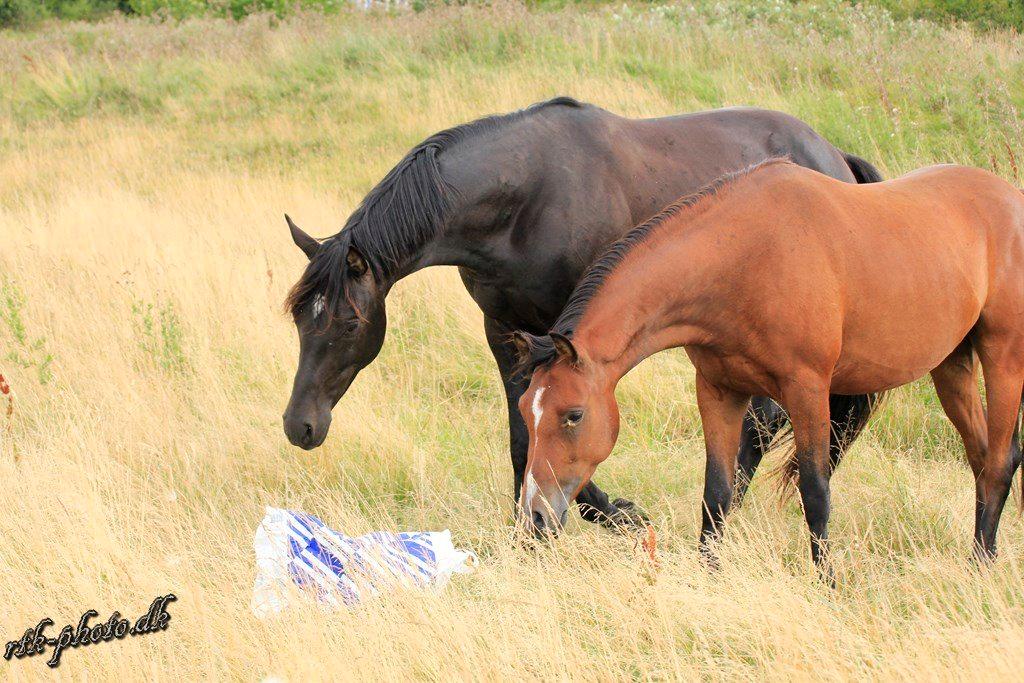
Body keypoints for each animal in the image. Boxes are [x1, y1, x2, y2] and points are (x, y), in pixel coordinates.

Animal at [281, 97, 885, 531]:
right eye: (299, 320)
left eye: (350, 324)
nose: (300, 426)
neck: (524, 201)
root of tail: (834, 157)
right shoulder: (504, 330)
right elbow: (521, 430)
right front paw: (527, 526)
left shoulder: (573, 332)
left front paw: (607, 512)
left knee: (766, 418)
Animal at [513, 158, 1024, 581]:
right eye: (524, 411)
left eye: (573, 415)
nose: (534, 516)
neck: (745, 256)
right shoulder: (718, 390)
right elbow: (717, 492)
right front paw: (709, 576)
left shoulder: (807, 389)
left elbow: (815, 492)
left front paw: (826, 584)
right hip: (952, 366)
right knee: (981, 457)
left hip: (1003, 357)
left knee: (1001, 460)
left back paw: (981, 567)